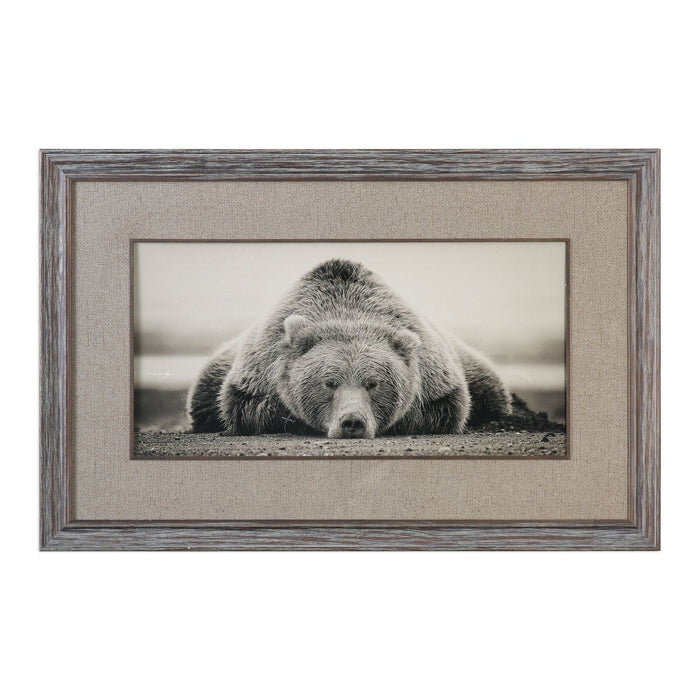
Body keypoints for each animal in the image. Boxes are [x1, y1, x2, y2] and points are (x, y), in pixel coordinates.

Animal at [187, 259, 511, 438]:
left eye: (374, 383)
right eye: (329, 382)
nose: (352, 422)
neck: (347, 311)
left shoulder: (436, 379)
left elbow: (444, 408)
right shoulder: (257, 374)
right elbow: (248, 407)